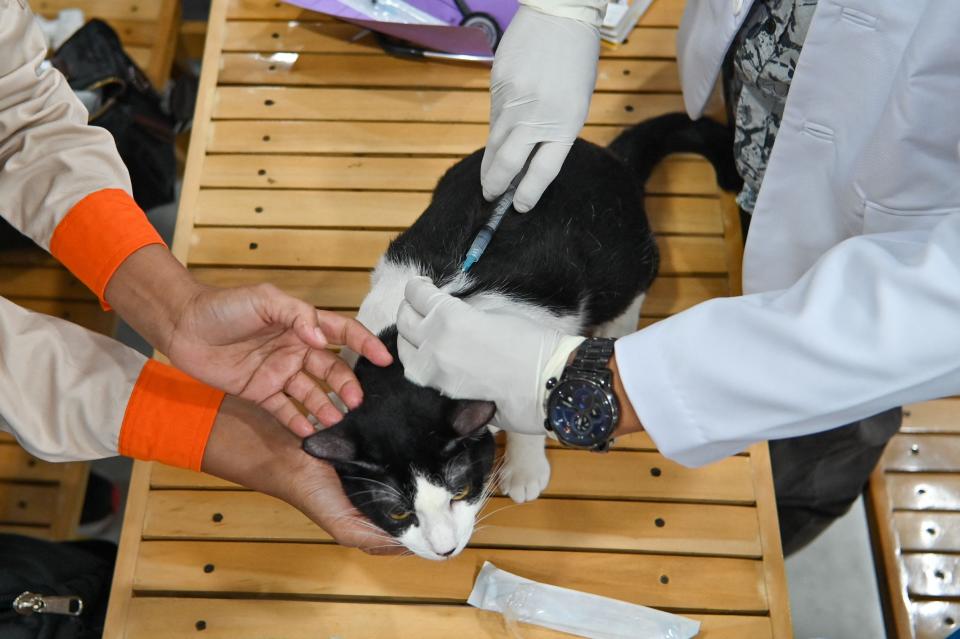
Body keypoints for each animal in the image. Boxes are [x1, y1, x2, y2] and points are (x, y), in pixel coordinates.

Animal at [304, 114, 740, 560]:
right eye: (398, 513)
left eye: (460, 490)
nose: (445, 549)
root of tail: (607, 156)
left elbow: (531, 405)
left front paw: (526, 468)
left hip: (621, 257)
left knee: (640, 277)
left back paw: (616, 327)